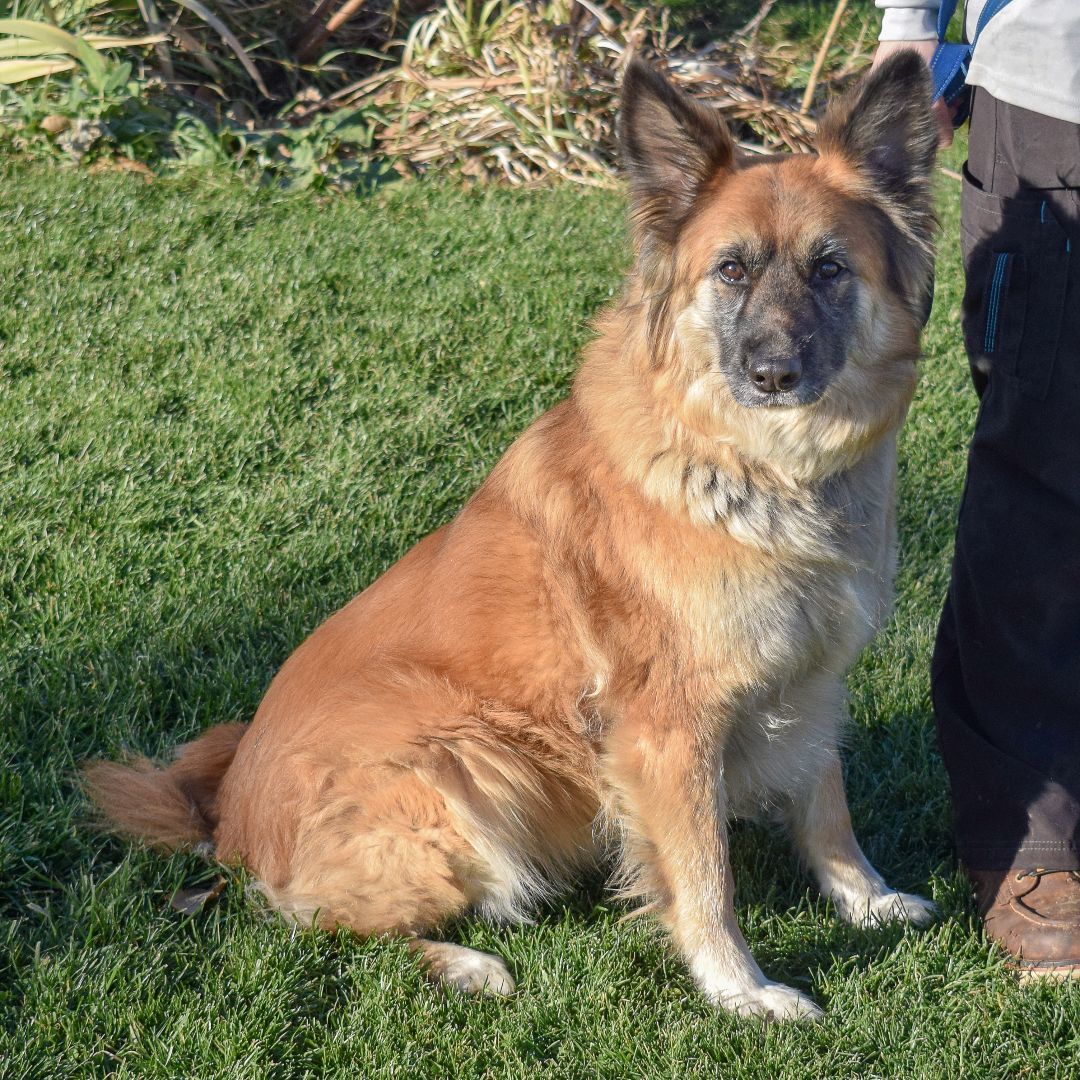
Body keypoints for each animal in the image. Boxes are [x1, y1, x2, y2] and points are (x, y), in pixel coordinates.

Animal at [88, 52, 941, 1019]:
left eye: (831, 268)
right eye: (731, 270)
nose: (772, 372)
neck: (759, 468)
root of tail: (229, 817)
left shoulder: (815, 675)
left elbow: (826, 802)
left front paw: (866, 900)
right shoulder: (668, 727)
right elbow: (704, 872)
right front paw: (741, 990)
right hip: (472, 765)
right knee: (312, 922)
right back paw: (464, 964)